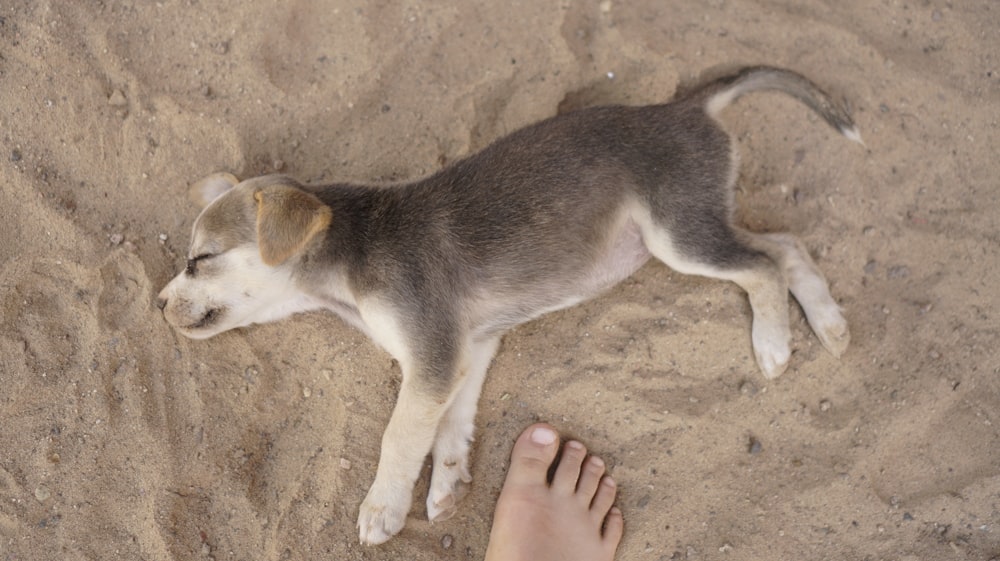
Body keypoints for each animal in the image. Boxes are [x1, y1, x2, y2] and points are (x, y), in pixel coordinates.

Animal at [156, 65, 860, 544]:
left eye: (201, 259)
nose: (158, 303)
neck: (352, 258)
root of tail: (681, 108)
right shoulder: (465, 350)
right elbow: (450, 425)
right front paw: (446, 484)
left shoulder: (432, 358)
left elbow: (399, 436)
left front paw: (383, 508)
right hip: (703, 226)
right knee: (787, 244)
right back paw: (829, 324)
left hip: (678, 236)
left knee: (763, 265)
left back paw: (774, 342)